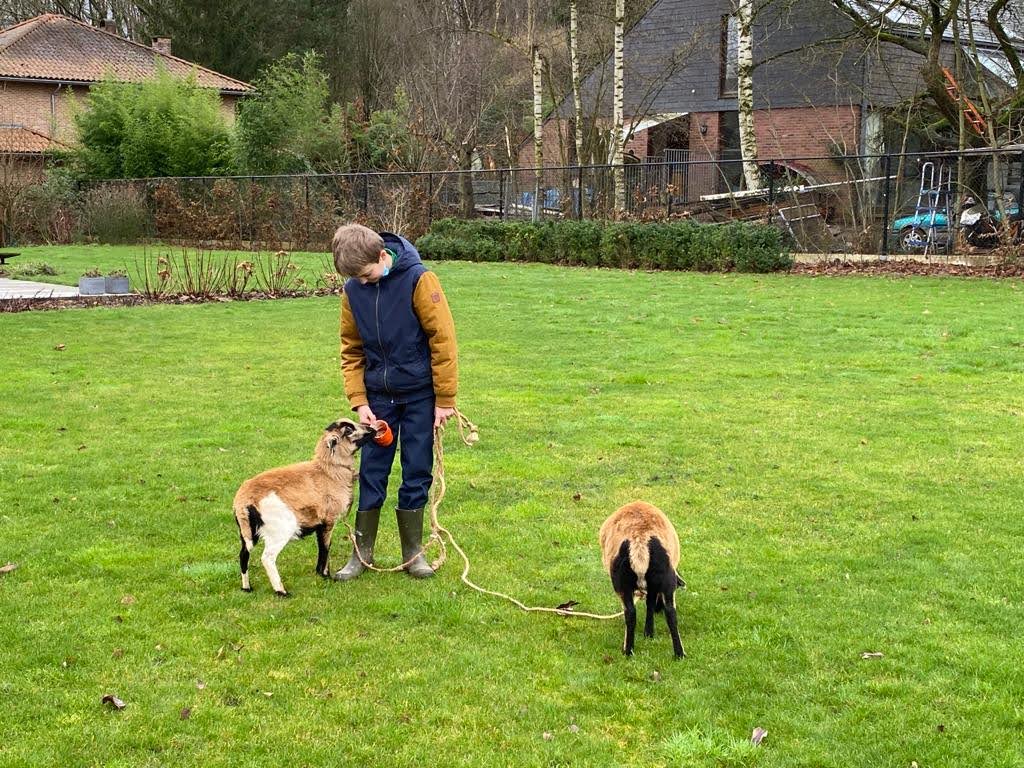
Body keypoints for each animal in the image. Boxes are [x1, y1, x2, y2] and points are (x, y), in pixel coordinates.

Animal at [233, 418, 376, 596]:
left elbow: (322, 545)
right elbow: (326, 546)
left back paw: (247, 588)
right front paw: (325, 575)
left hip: (247, 531)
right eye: (348, 430)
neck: (328, 471)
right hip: (280, 527)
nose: (371, 429)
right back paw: (281, 591)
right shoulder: (328, 520)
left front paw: (321, 573)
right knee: (267, 557)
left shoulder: (319, 522)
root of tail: (243, 501)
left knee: (244, 554)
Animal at [599, 501, 686, 658]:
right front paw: (649, 633)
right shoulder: (654, 586)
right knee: (671, 613)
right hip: (666, 579)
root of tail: (639, 539)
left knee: (630, 613)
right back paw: (679, 654)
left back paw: (627, 651)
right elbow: (650, 604)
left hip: (621, 582)